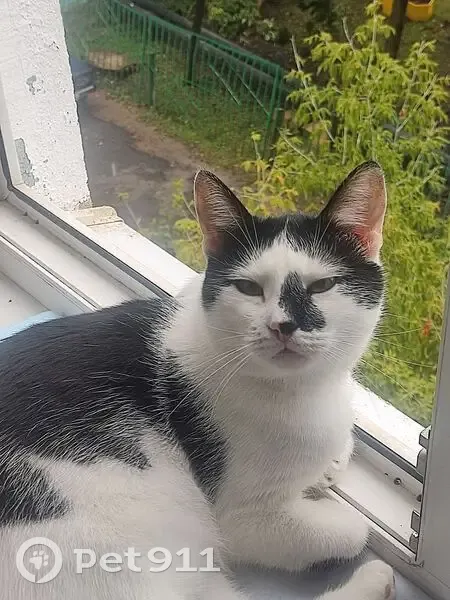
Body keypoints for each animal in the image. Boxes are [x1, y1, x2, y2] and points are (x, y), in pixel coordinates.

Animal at [0, 161, 395, 600]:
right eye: (248, 288)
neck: (306, 390)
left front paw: (331, 461)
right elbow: (352, 530)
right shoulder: (244, 519)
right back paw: (376, 579)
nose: (282, 325)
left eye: (322, 285)